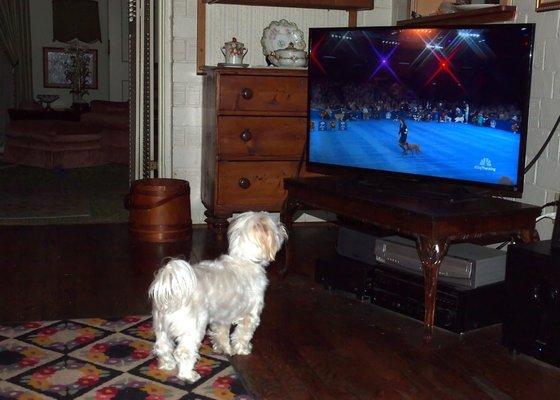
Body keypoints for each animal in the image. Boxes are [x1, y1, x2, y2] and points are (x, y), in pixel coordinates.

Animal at [148, 211, 286, 382]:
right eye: (277, 226)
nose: (283, 227)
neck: (245, 260)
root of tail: (173, 293)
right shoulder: (251, 315)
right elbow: (243, 334)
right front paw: (243, 349)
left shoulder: (222, 318)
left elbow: (221, 334)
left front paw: (223, 349)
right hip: (193, 328)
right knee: (183, 353)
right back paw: (189, 375)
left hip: (161, 328)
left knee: (163, 347)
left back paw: (167, 365)